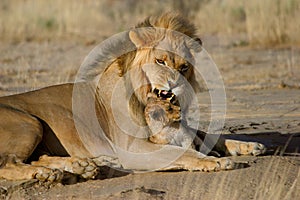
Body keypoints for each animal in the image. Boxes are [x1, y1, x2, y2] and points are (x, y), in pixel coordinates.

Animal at [0, 11, 264, 182]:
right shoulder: (132, 148)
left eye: (184, 67)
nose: (176, 84)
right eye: (160, 61)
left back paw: (82, 166)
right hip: (30, 123)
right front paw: (215, 161)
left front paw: (249, 146)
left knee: (38, 157)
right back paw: (49, 173)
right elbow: (181, 152)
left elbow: (208, 134)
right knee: (8, 162)